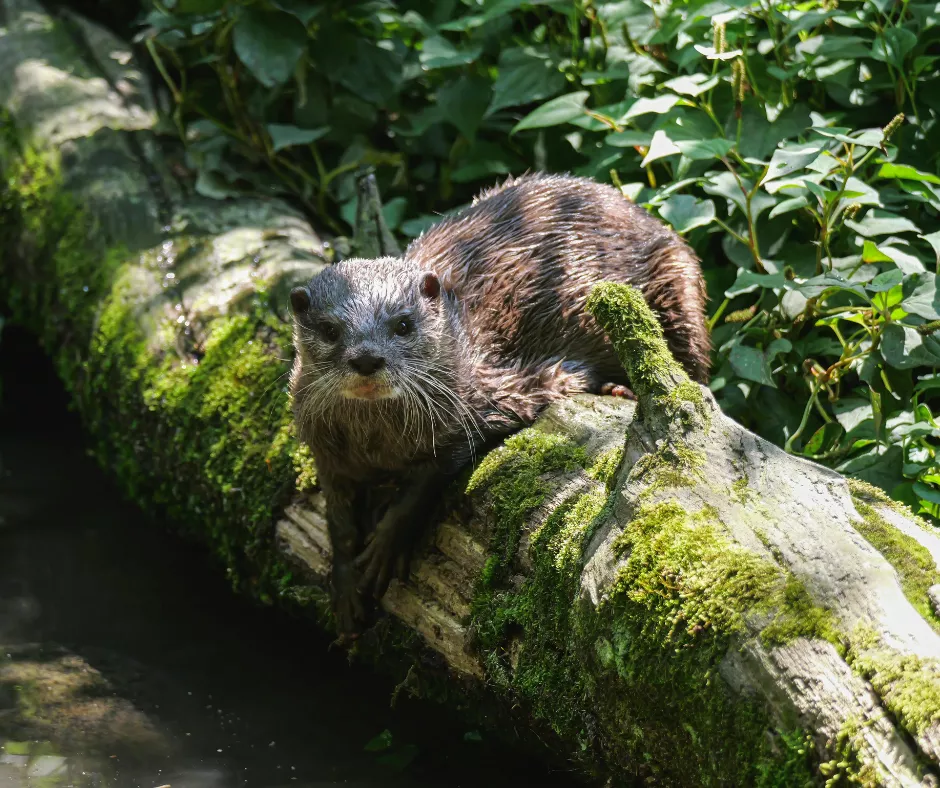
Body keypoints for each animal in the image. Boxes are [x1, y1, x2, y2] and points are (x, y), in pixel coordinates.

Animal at [289, 172, 710, 636]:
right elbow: (338, 521)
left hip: (680, 284)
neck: (378, 446)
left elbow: (428, 480)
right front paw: (345, 586)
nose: (366, 358)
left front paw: (386, 543)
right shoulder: (325, 453)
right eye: (329, 329)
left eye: (403, 324)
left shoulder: (478, 402)